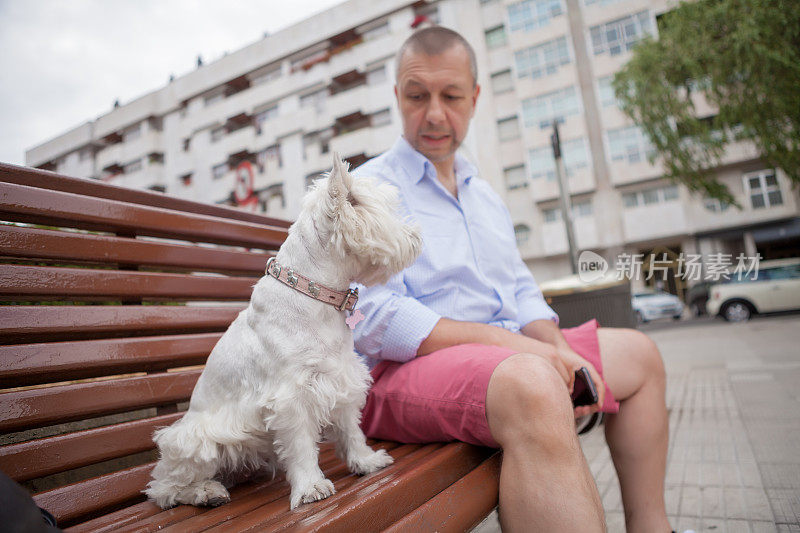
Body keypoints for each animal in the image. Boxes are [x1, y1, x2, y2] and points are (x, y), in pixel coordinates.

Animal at [148, 156, 424, 510]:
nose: (417, 236)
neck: (314, 293)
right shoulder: (292, 396)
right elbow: (301, 445)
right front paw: (310, 488)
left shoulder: (342, 377)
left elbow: (350, 428)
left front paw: (365, 461)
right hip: (196, 441)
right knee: (164, 487)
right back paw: (206, 492)